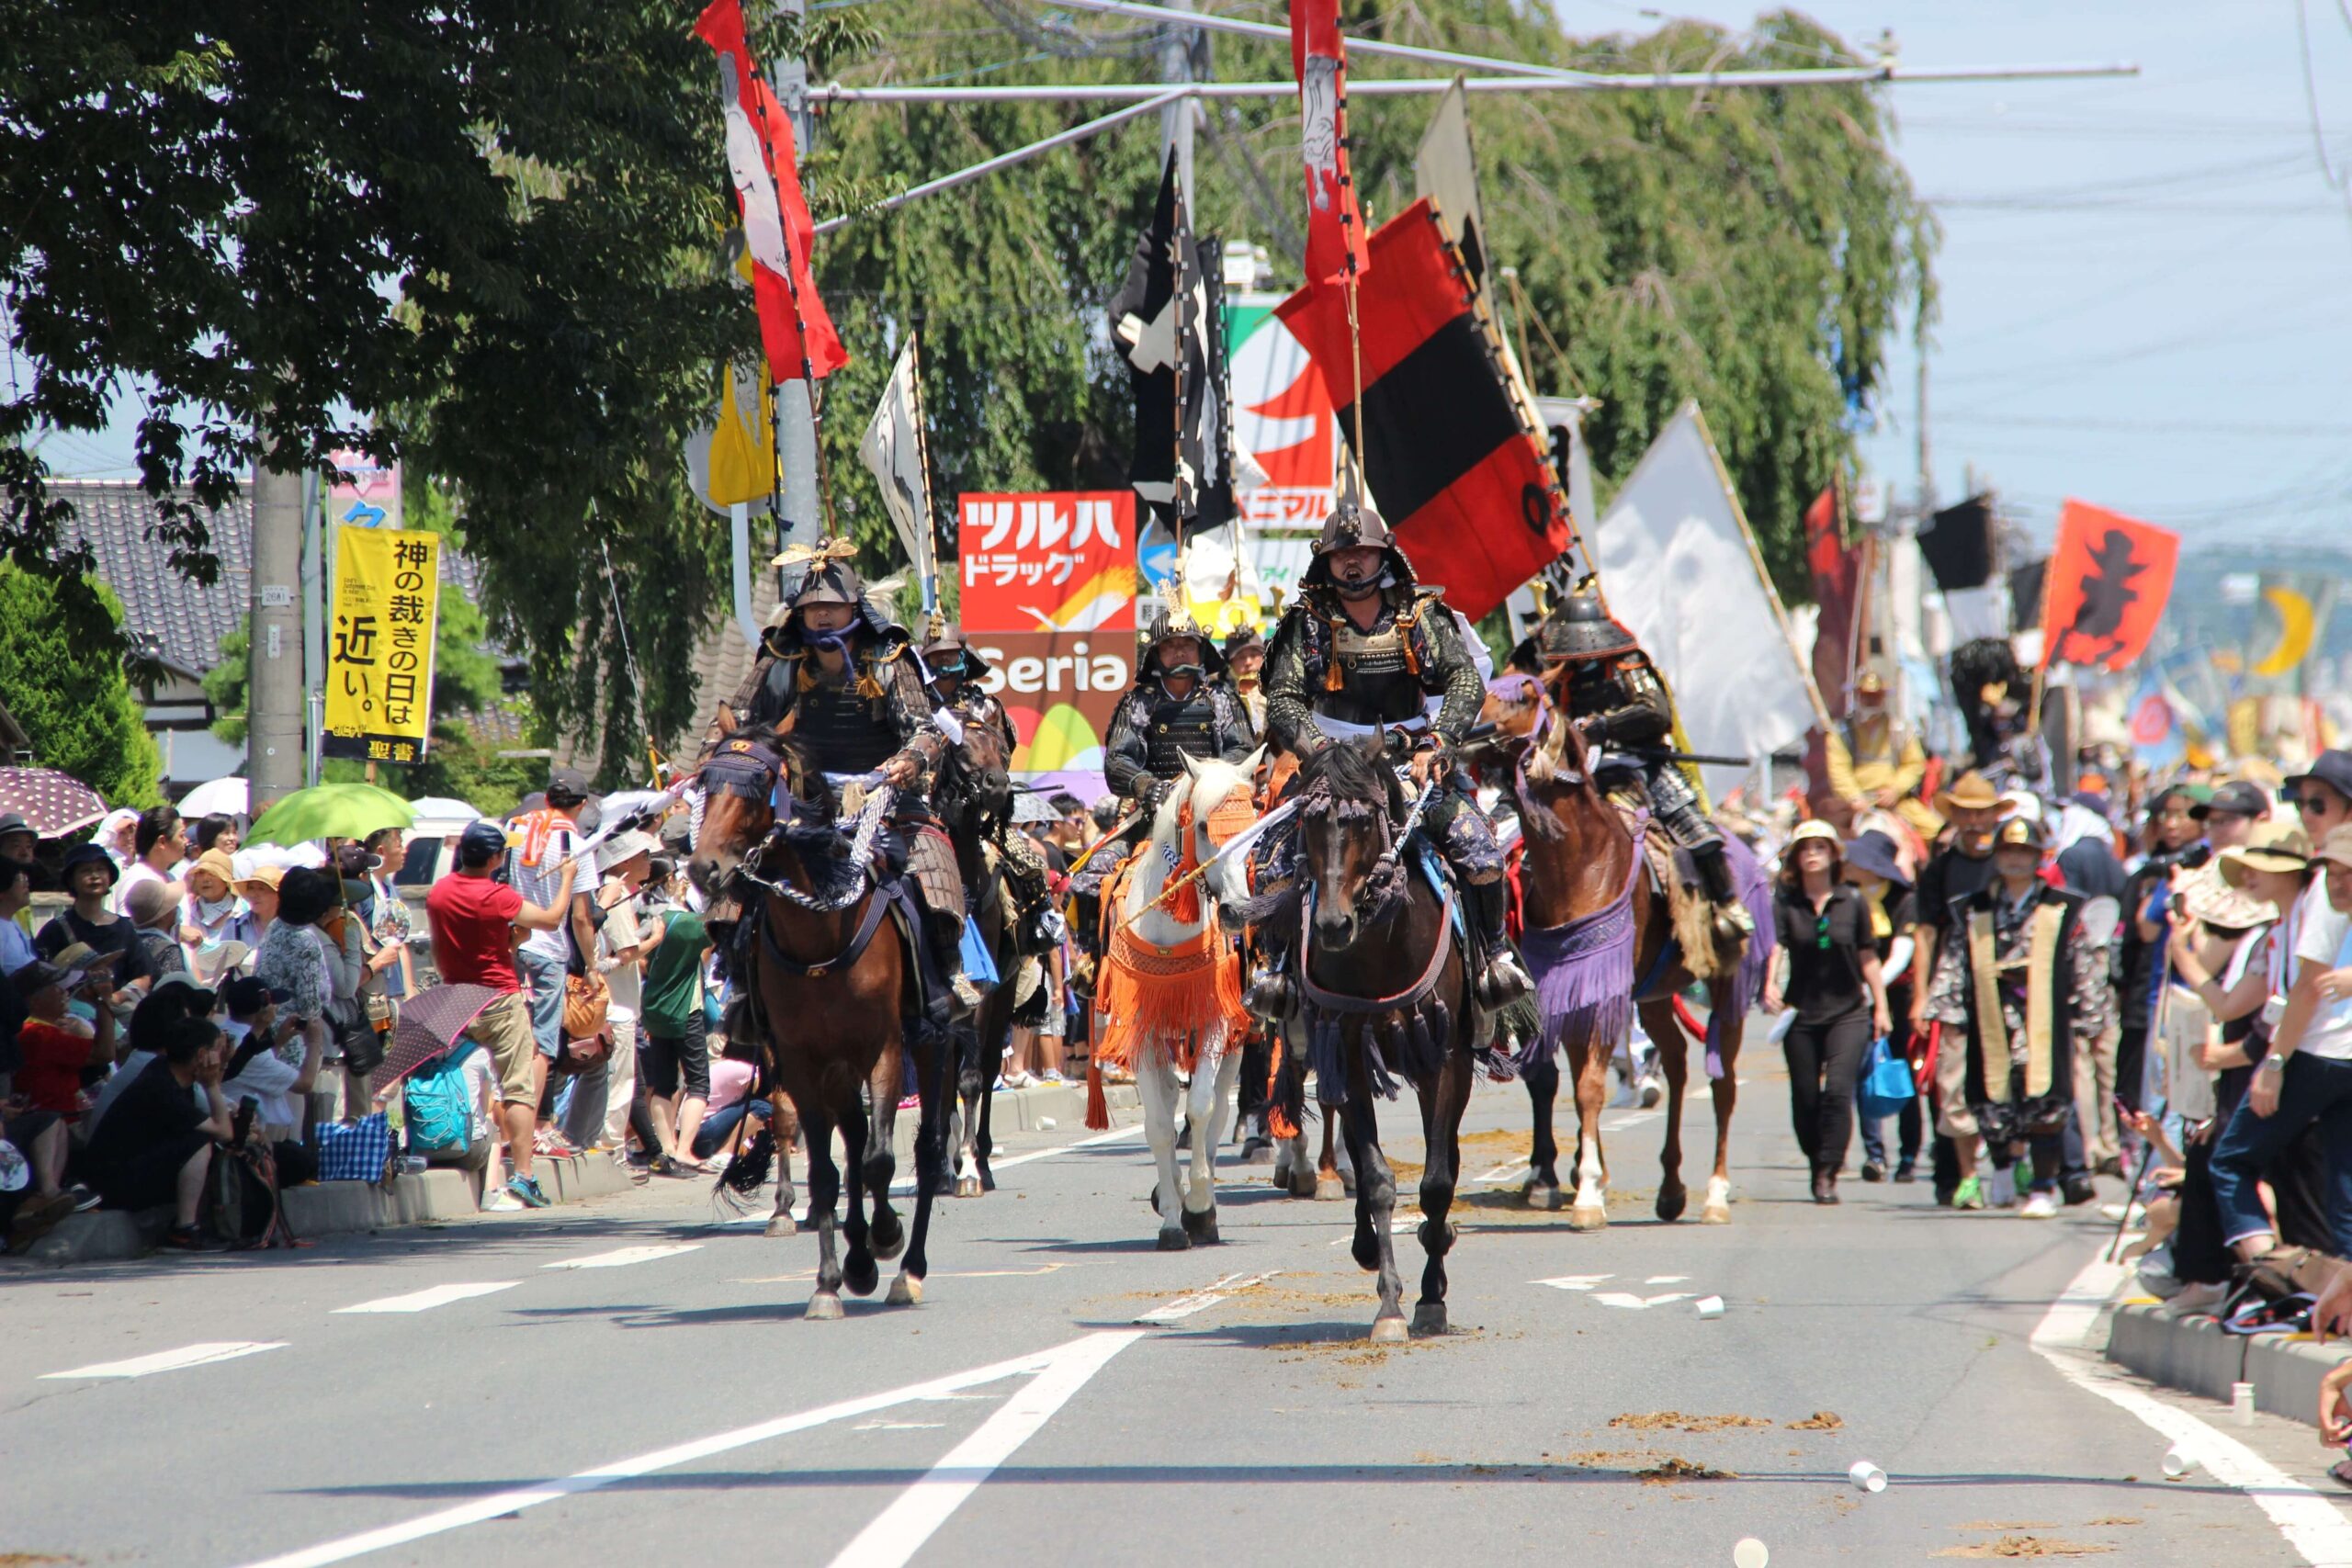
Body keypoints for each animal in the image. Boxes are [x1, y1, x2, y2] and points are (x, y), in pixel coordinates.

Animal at [686, 728, 955, 1316]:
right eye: (705, 783)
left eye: (759, 785)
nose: (703, 869)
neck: (820, 935)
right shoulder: (801, 1060)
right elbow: (828, 1169)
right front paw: (832, 1279)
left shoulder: (884, 1050)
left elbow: (880, 1160)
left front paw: (885, 1238)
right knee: (850, 1140)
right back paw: (857, 1256)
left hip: (932, 1044)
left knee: (924, 1150)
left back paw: (908, 1269)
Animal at [1091, 751, 1261, 1250]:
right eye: (1204, 826)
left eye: (1254, 824)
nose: (1237, 912)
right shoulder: (1143, 1030)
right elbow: (1160, 1126)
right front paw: (1170, 1218)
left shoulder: (1214, 1024)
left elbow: (1201, 1109)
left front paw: (1200, 1209)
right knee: (1167, 1101)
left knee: (1219, 1111)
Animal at [1270, 742, 1467, 1344]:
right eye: (1308, 822)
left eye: (1360, 824)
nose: (1333, 925)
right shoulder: (1348, 1050)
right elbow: (1378, 1178)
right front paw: (1390, 1308)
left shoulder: (1443, 1059)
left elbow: (1436, 1181)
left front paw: (1430, 1299)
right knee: (1358, 1151)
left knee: (1446, 1154)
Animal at [1505, 686, 1769, 1241]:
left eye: (1520, 699)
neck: (1581, 867)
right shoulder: (1574, 988)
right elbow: (1579, 1082)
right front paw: (1586, 1179)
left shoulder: (1602, 988)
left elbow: (1588, 1085)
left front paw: (1586, 1192)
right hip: (1654, 995)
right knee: (1677, 1061)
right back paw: (1670, 1189)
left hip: (1727, 985)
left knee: (1723, 1085)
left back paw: (1715, 1195)